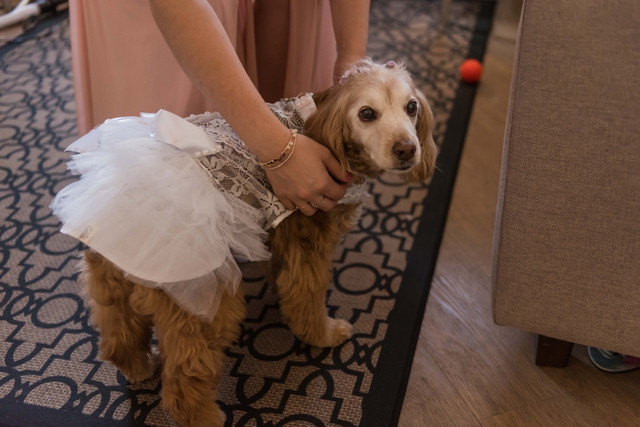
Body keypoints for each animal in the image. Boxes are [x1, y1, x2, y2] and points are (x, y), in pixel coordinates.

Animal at [77, 59, 436, 424]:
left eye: (411, 107)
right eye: (366, 113)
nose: (407, 149)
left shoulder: (283, 241)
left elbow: (283, 279)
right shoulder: (309, 244)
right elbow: (306, 298)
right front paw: (324, 334)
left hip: (113, 291)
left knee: (117, 339)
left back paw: (138, 366)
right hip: (205, 303)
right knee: (182, 386)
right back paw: (207, 418)